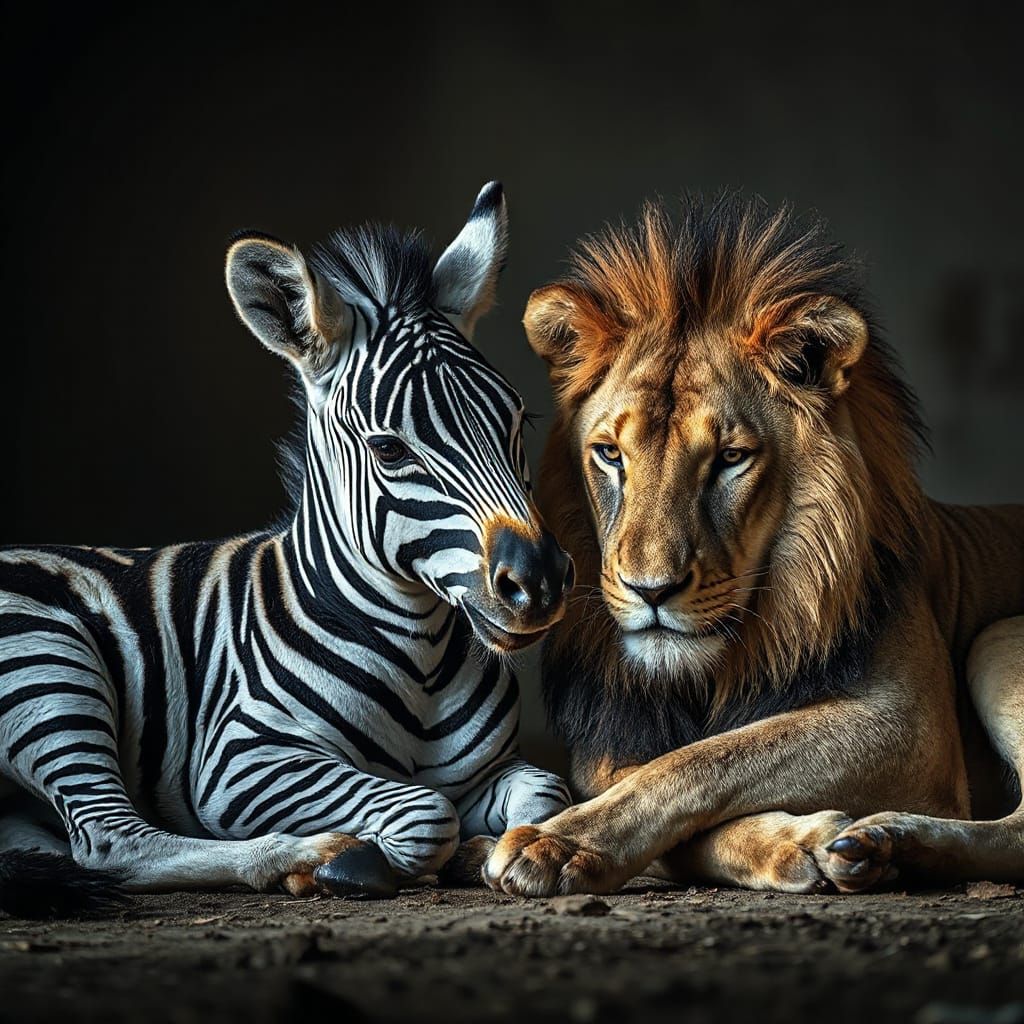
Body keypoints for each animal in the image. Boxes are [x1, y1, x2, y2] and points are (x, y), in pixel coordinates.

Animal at [0, 182, 574, 916]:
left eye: (518, 422)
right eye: (389, 449)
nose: (541, 581)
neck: (418, 661)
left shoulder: (491, 770)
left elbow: (544, 793)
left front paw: (494, 850)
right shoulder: (239, 763)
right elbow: (426, 811)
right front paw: (376, 856)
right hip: (48, 666)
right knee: (109, 840)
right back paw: (308, 857)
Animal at [482, 194, 1024, 896]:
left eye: (731, 458)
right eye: (609, 454)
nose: (650, 591)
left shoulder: (910, 726)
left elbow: (704, 759)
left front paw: (553, 841)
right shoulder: (606, 749)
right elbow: (656, 776)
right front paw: (795, 841)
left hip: (996, 638)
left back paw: (888, 840)